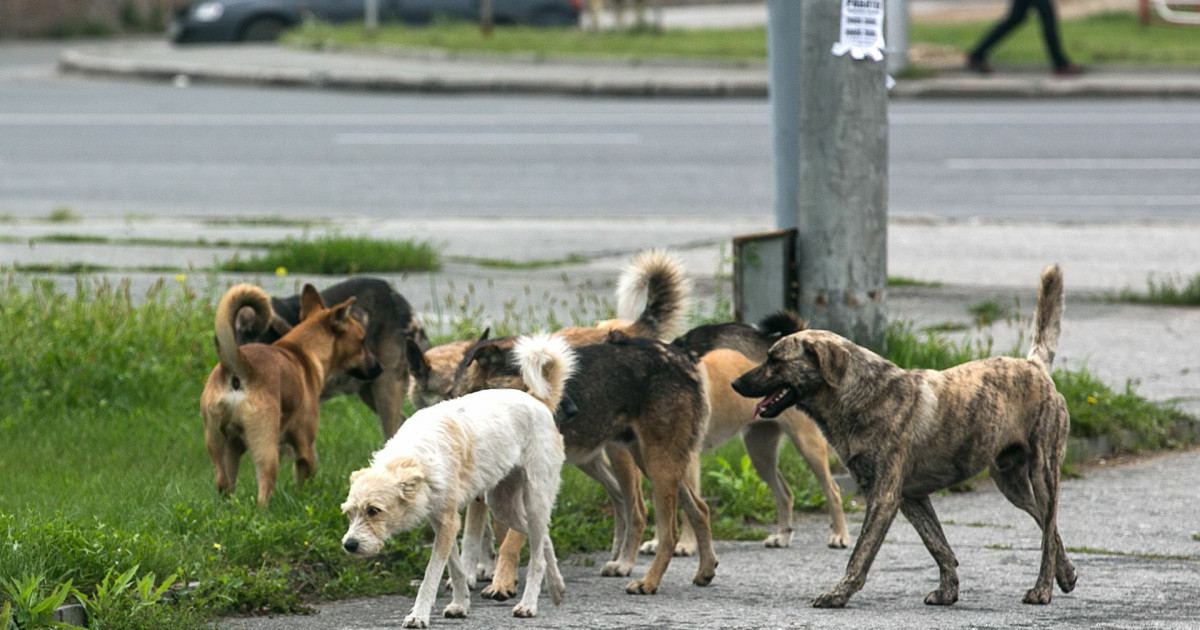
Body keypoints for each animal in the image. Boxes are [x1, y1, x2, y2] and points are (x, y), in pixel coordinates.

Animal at [201, 284, 379, 506]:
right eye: (362, 341)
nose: (379, 367)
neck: (302, 351)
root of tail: (238, 367)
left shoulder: (234, 447)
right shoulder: (305, 447)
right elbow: (305, 479)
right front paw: (306, 500)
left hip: (217, 443)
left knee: (223, 482)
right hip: (266, 449)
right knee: (263, 491)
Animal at [343, 333, 576, 624]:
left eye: (374, 511)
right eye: (349, 513)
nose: (349, 545)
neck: (415, 456)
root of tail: (536, 400)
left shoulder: (448, 523)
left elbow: (431, 574)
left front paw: (419, 615)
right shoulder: (443, 522)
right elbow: (456, 569)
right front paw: (460, 605)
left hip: (533, 499)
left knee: (537, 557)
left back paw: (528, 604)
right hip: (503, 505)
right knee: (544, 538)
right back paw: (557, 587)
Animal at [451, 331, 710, 597]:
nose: (573, 410)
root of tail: (680, 353)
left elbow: (508, 541)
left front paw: (501, 582)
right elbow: (480, 535)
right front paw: (481, 577)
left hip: (656, 463)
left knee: (665, 529)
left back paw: (647, 581)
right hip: (654, 463)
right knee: (699, 509)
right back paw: (705, 570)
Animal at [729, 264, 1080, 604]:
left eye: (775, 359)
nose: (735, 383)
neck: (860, 394)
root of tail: (1034, 366)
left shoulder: (883, 498)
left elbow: (860, 553)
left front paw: (839, 593)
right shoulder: (911, 497)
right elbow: (938, 545)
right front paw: (948, 591)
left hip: (1043, 473)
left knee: (1048, 530)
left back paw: (1042, 590)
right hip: (1010, 482)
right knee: (1048, 526)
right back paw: (1065, 573)